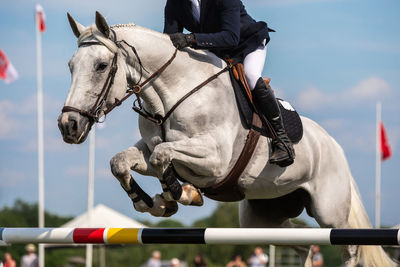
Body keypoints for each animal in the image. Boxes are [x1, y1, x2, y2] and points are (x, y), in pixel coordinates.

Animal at [58, 11, 394, 266]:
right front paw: (153, 203)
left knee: (349, 248)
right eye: (71, 66)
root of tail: (334, 146)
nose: (68, 126)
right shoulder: (151, 150)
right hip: (263, 217)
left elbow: (163, 154)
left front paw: (178, 195)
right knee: (301, 243)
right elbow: (122, 161)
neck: (173, 93)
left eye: (101, 66)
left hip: (329, 212)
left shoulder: (214, 160)